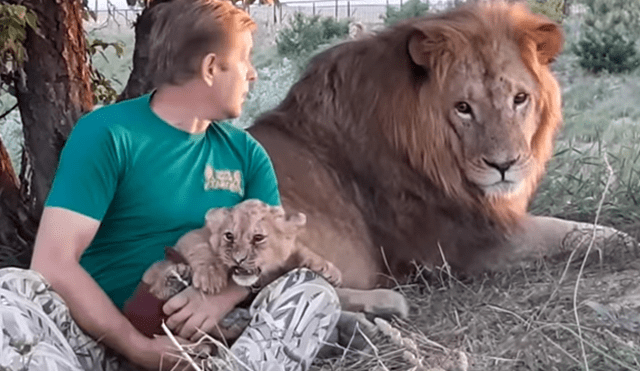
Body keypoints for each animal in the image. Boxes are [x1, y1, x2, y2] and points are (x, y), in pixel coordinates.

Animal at [250, 1, 632, 290]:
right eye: (463, 107)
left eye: (520, 99)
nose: (504, 165)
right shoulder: (468, 246)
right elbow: (569, 233)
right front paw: (623, 239)